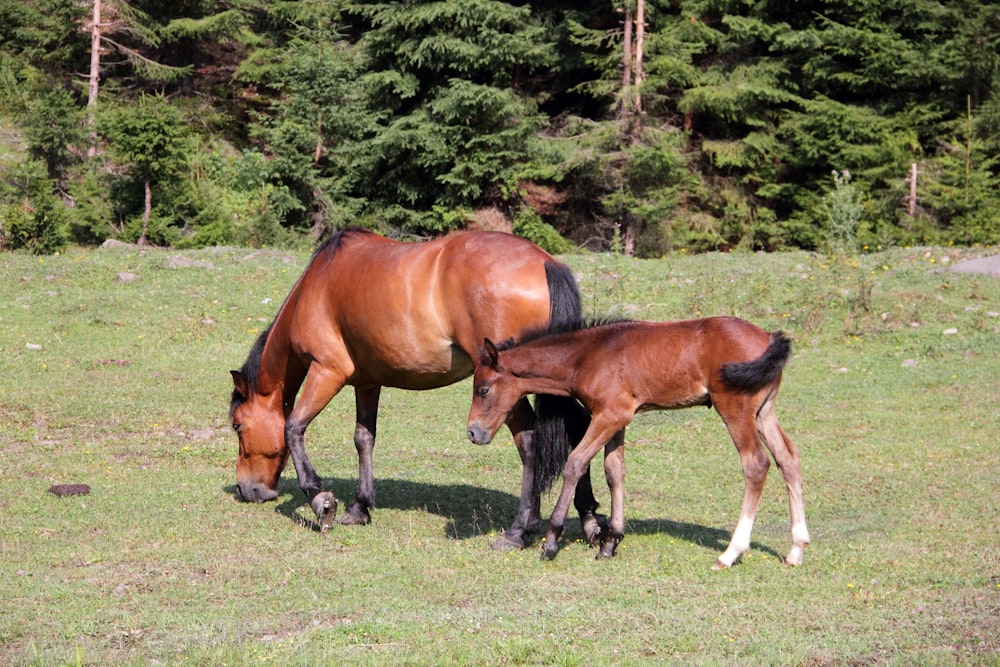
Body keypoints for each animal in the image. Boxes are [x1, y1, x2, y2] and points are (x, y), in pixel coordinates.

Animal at [229, 227, 596, 552]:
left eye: (237, 426)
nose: (248, 490)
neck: (317, 286)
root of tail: (545, 263)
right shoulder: (367, 382)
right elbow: (363, 439)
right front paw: (359, 507)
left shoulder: (327, 371)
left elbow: (293, 428)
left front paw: (321, 501)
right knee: (578, 427)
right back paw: (590, 519)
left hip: (507, 389)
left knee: (530, 438)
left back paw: (519, 530)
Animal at [468, 318, 812, 568]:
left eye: (483, 390)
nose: (473, 433)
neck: (587, 355)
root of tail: (769, 338)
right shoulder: (618, 418)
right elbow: (614, 472)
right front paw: (610, 543)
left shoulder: (608, 416)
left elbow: (575, 463)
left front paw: (551, 542)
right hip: (764, 412)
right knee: (788, 458)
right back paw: (796, 550)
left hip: (735, 409)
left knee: (756, 463)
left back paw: (730, 554)